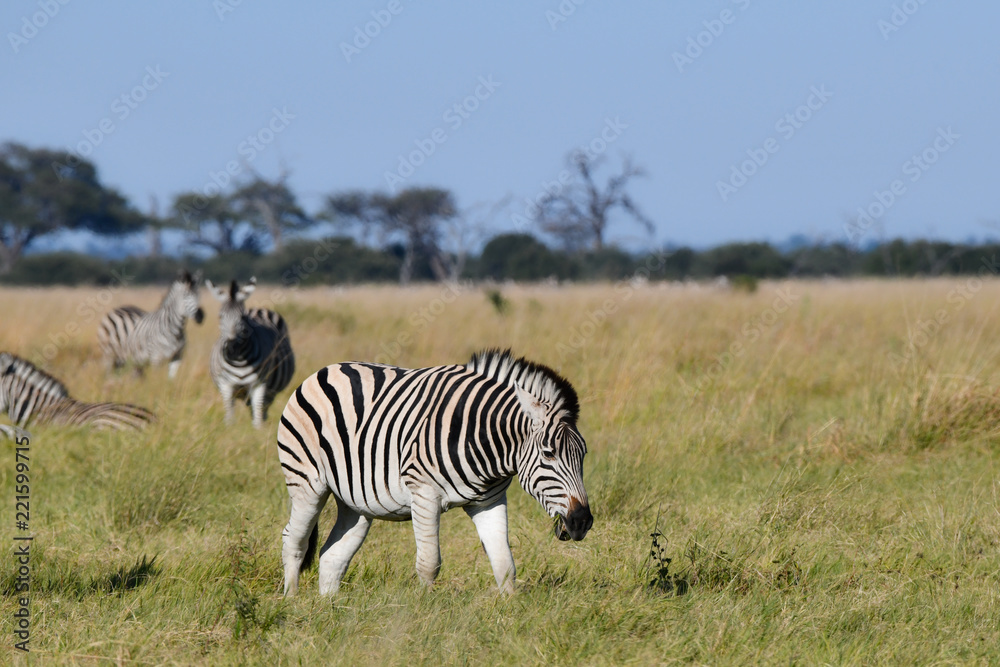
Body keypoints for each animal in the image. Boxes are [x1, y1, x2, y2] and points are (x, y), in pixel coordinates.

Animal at [206, 277, 295, 428]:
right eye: (220, 316)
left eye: (242, 317)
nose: (230, 346)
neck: (239, 359)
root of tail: (260, 310)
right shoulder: (226, 384)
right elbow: (230, 414)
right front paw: (230, 428)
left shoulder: (260, 384)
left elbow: (258, 414)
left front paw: (258, 430)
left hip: (271, 390)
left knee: (262, 408)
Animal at [277, 348, 593, 596]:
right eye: (548, 453)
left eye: (584, 455)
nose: (581, 522)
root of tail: (325, 370)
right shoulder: (424, 494)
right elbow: (430, 563)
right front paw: (422, 610)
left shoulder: (489, 501)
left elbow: (504, 563)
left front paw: (508, 613)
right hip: (306, 483)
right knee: (294, 540)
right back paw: (292, 602)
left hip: (355, 502)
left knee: (332, 556)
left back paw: (329, 609)